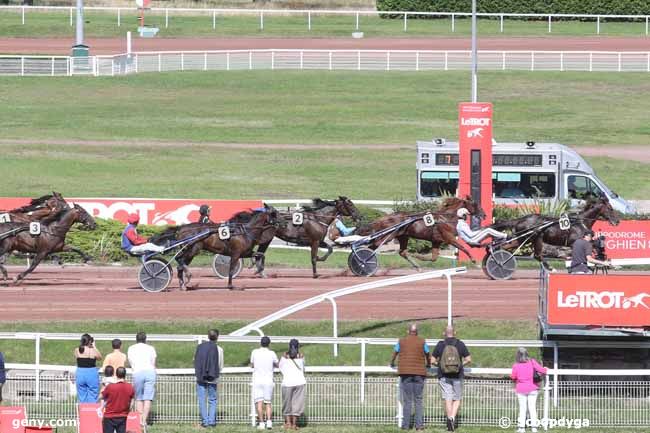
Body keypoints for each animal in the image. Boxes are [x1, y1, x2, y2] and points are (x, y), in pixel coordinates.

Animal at [150, 203, 278, 290]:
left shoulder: (245, 252)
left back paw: (183, 284)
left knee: (180, 264)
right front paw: (231, 286)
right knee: (179, 259)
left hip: (191, 251)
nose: (279, 223)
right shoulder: (236, 254)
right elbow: (231, 270)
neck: (244, 231)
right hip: (192, 249)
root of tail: (182, 228)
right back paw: (186, 276)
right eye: (274, 213)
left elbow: (260, 255)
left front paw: (258, 269)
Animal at [356, 196, 484, 266]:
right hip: (390, 235)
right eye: (475, 204)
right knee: (373, 246)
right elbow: (463, 247)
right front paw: (474, 260)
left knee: (402, 252)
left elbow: (434, 257)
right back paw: (363, 260)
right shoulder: (449, 238)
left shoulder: (436, 241)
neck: (445, 218)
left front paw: (418, 257)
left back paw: (417, 266)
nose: (484, 214)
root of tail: (388, 217)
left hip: (403, 236)